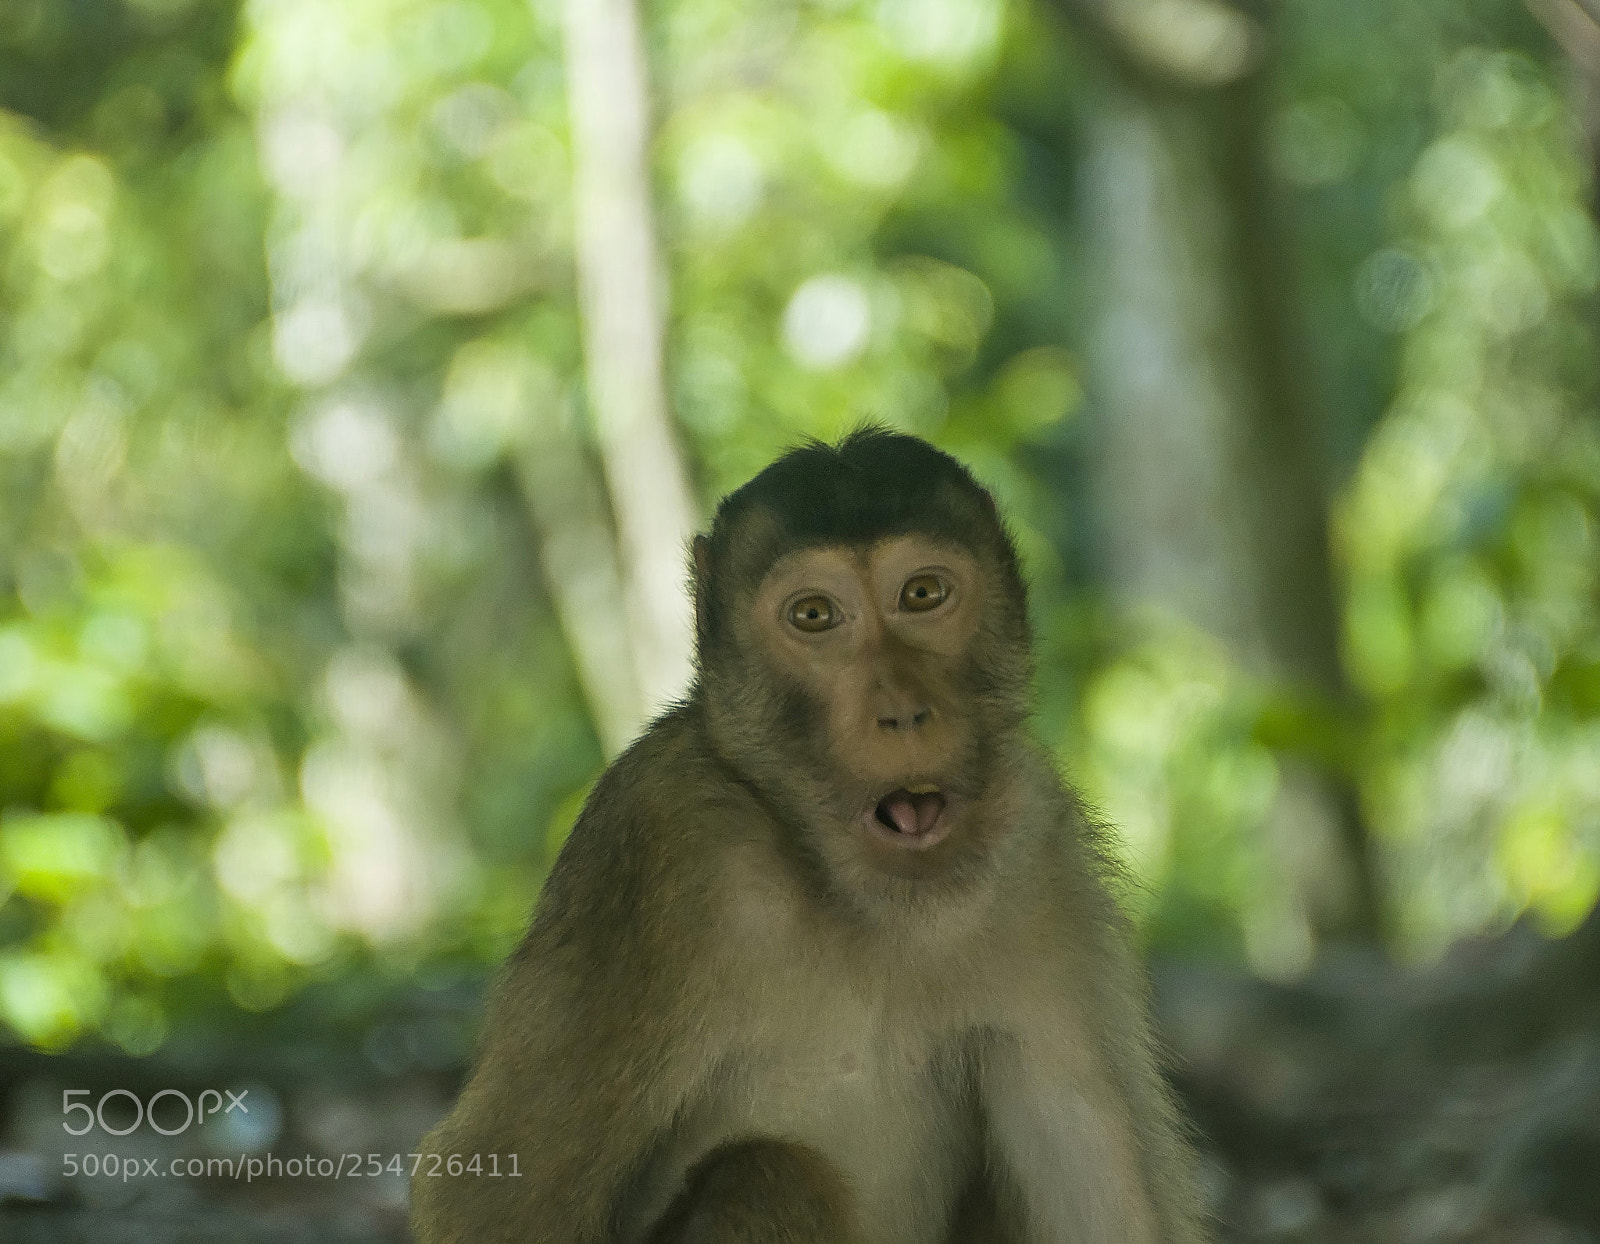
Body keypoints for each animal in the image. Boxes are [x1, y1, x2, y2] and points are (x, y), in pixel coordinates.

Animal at [410, 429, 1209, 1244]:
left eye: (923, 595)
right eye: (815, 615)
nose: (903, 713)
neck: (861, 902)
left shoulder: (1039, 855)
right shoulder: (663, 842)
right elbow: (499, 1197)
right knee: (768, 1172)